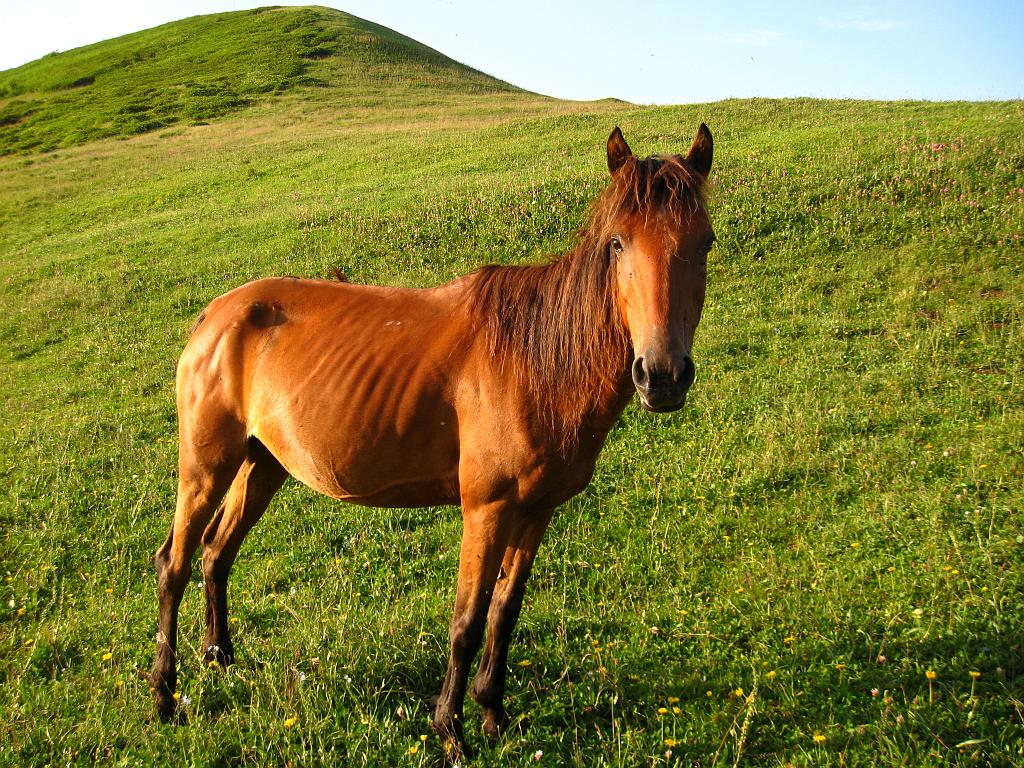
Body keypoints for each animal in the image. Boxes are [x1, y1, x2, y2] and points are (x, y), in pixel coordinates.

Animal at [151, 123, 716, 753]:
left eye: (706, 244)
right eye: (618, 244)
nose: (662, 376)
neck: (536, 361)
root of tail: (215, 315)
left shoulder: (537, 510)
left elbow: (504, 612)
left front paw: (492, 714)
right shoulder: (487, 508)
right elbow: (467, 621)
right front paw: (451, 731)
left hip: (263, 464)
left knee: (216, 552)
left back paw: (219, 657)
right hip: (206, 466)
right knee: (174, 562)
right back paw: (165, 695)